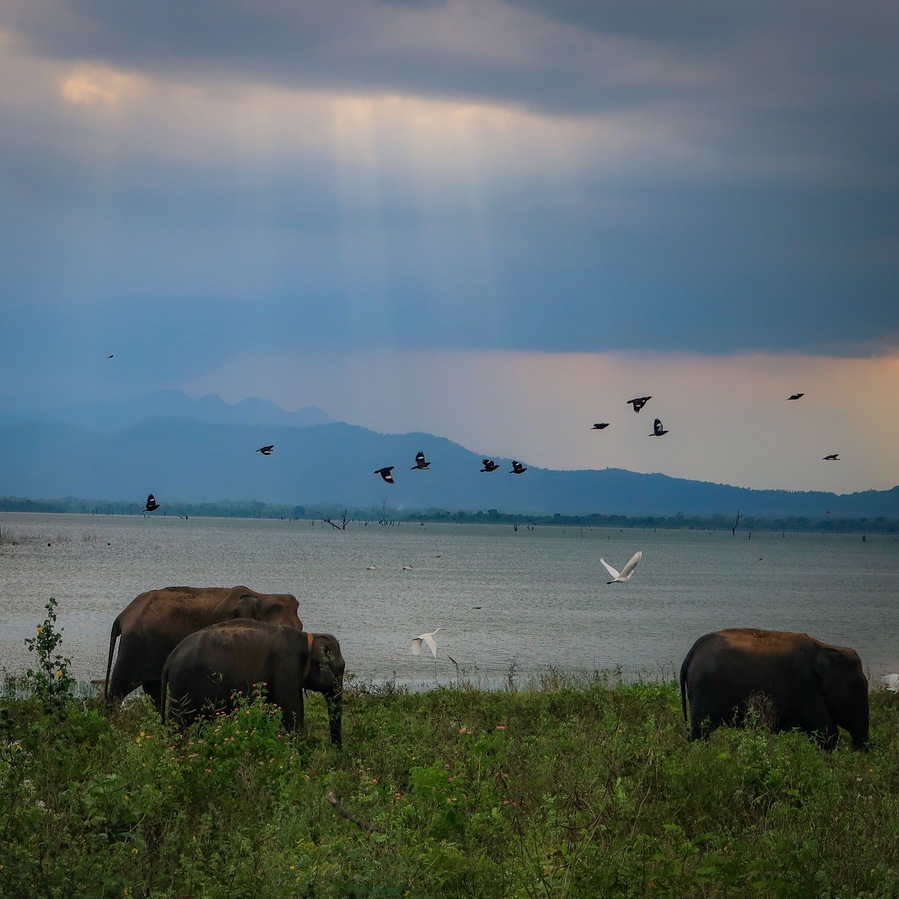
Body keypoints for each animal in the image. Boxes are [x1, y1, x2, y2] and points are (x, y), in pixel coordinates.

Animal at [104, 585, 303, 710]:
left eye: (300, 628)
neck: (260, 596)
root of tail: (122, 616)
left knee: (153, 690)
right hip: (134, 646)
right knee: (119, 689)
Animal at [160, 620, 345, 747]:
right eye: (339, 670)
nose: (336, 753)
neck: (307, 639)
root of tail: (171, 658)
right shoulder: (285, 668)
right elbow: (290, 715)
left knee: (203, 723)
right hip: (182, 689)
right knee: (177, 724)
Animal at [680, 628, 869, 751]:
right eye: (857, 687)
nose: (858, 751)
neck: (824, 647)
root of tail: (691, 653)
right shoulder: (806, 686)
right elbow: (825, 731)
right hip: (703, 692)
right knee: (700, 732)